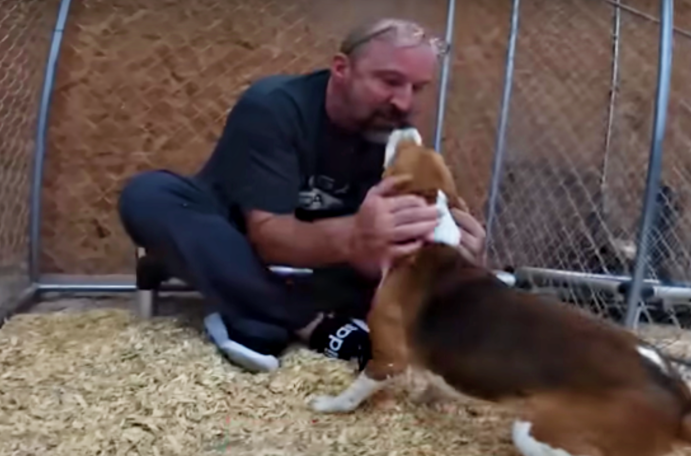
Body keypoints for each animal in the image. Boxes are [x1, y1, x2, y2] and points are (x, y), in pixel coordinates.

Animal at [310, 127, 691, 456]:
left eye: (402, 153)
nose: (406, 127)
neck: (431, 243)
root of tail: (675, 392)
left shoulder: (389, 357)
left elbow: (355, 390)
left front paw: (328, 404)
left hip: (536, 431)